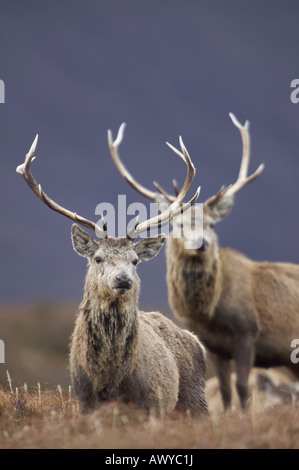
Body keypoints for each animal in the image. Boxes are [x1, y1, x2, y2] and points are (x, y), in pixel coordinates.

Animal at [16, 127, 209, 414]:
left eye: (135, 261)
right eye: (98, 258)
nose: (123, 279)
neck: (110, 379)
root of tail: (197, 343)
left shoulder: (150, 404)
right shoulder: (85, 402)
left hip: (196, 401)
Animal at [109, 114, 299, 412]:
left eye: (211, 224)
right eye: (179, 224)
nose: (200, 244)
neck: (209, 312)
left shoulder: (247, 333)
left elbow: (242, 386)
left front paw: (244, 417)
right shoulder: (215, 346)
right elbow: (225, 390)